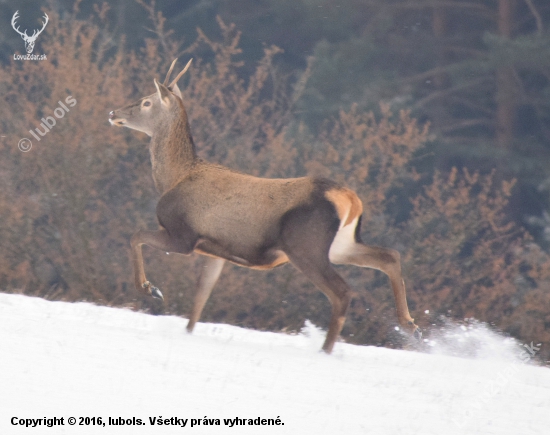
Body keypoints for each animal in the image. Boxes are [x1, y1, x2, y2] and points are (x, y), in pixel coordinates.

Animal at [110, 58, 424, 354]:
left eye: (147, 101)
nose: (113, 113)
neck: (174, 177)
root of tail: (350, 199)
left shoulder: (183, 234)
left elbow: (135, 236)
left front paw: (150, 289)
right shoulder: (214, 250)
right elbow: (201, 296)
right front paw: (185, 331)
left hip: (305, 245)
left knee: (343, 291)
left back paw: (326, 350)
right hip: (339, 244)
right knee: (389, 256)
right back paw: (410, 325)